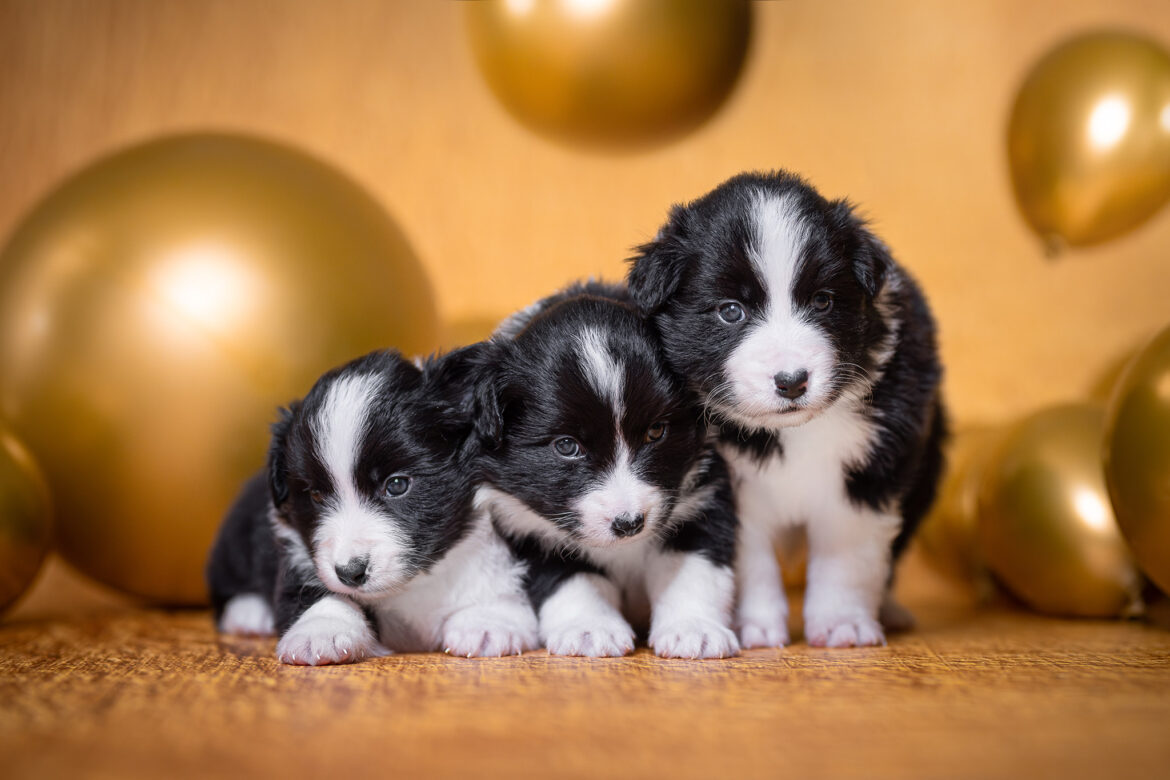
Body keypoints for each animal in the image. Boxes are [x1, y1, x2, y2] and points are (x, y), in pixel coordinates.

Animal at [208, 348, 535, 664]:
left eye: (397, 485)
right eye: (316, 496)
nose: (350, 572)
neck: (416, 582)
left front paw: (488, 620)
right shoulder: (298, 553)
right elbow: (314, 592)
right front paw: (323, 629)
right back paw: (250, 613)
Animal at [475, 284, 739, 664]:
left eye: (656, 431)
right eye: (567, 446)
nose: (629, 524)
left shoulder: (703, 497)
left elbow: (694, 567)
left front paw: (694, 629)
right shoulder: (527, 527)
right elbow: (573, 579)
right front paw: (590, 629)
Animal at [627, 171, 945, 654]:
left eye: (823, 301)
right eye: (730, 311)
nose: (792, 380)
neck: (798, 430)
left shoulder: (870, 470)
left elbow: (847, 556)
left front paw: (843, 624)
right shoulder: (731, 482)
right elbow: (751, 560)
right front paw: (757, 628)